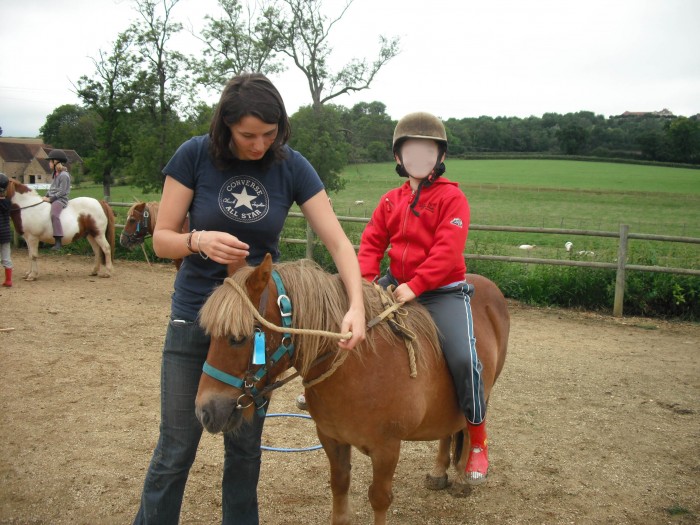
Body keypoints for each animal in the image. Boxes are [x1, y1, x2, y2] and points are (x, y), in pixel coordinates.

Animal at [194, 253, 506, 520]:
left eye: (238, 338)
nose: (205, 411)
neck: (359, 366)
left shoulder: (386, 448)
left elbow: (379, 498)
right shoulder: (332, 439)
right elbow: (339, 488)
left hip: (481, 386)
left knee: (470, 422)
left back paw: (465, 475)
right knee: (449, 431)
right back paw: (439, 472)